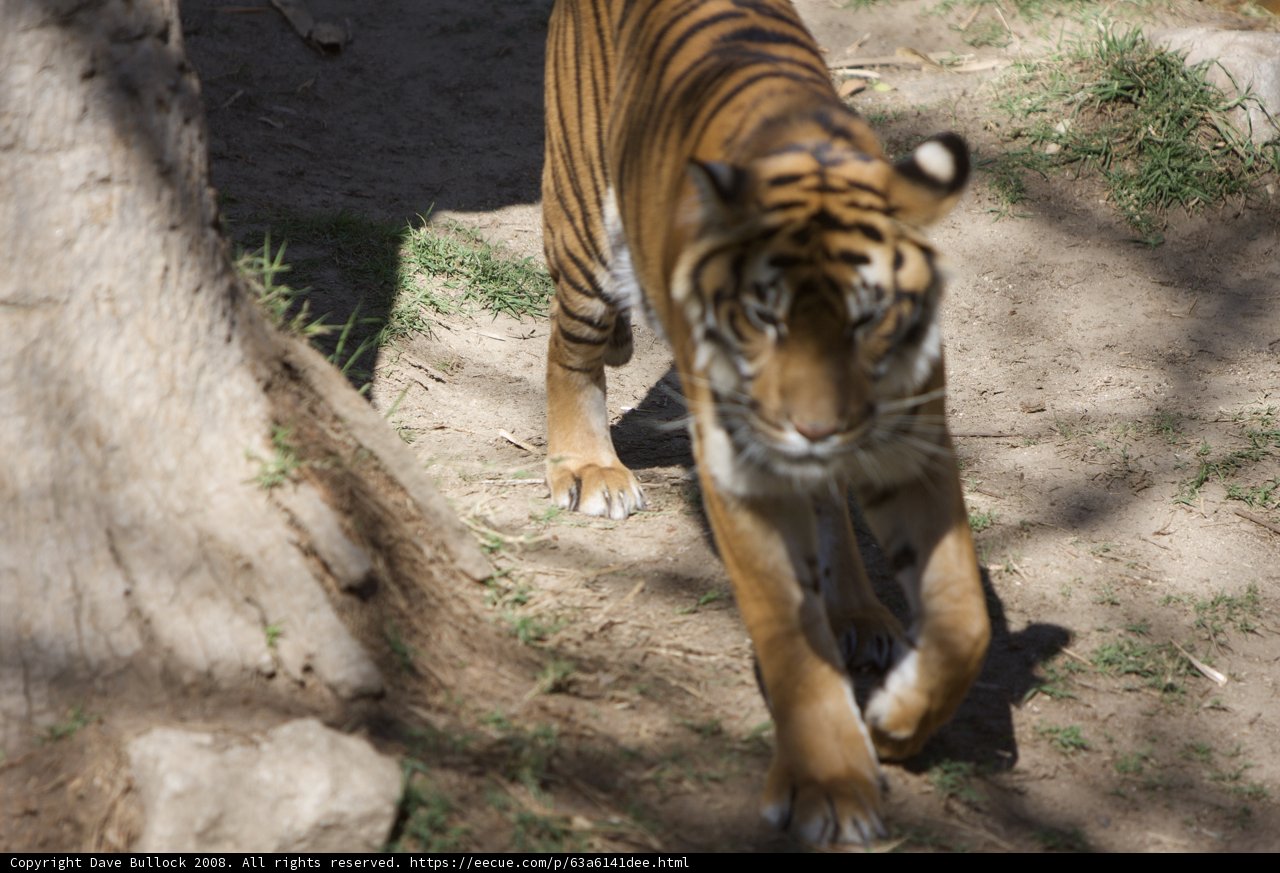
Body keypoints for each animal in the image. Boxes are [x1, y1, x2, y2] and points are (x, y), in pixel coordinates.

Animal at [541, 0, 991, 846]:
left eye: (868, 320)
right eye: (763, 318)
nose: (815, 429)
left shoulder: (912, 445)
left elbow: (963, 617)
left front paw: (899, 724)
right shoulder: (741, 466)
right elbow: (787, 629)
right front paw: (833, 783)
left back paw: (859, 610)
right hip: (584, 230)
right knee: (569, 346)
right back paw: (589, 468)